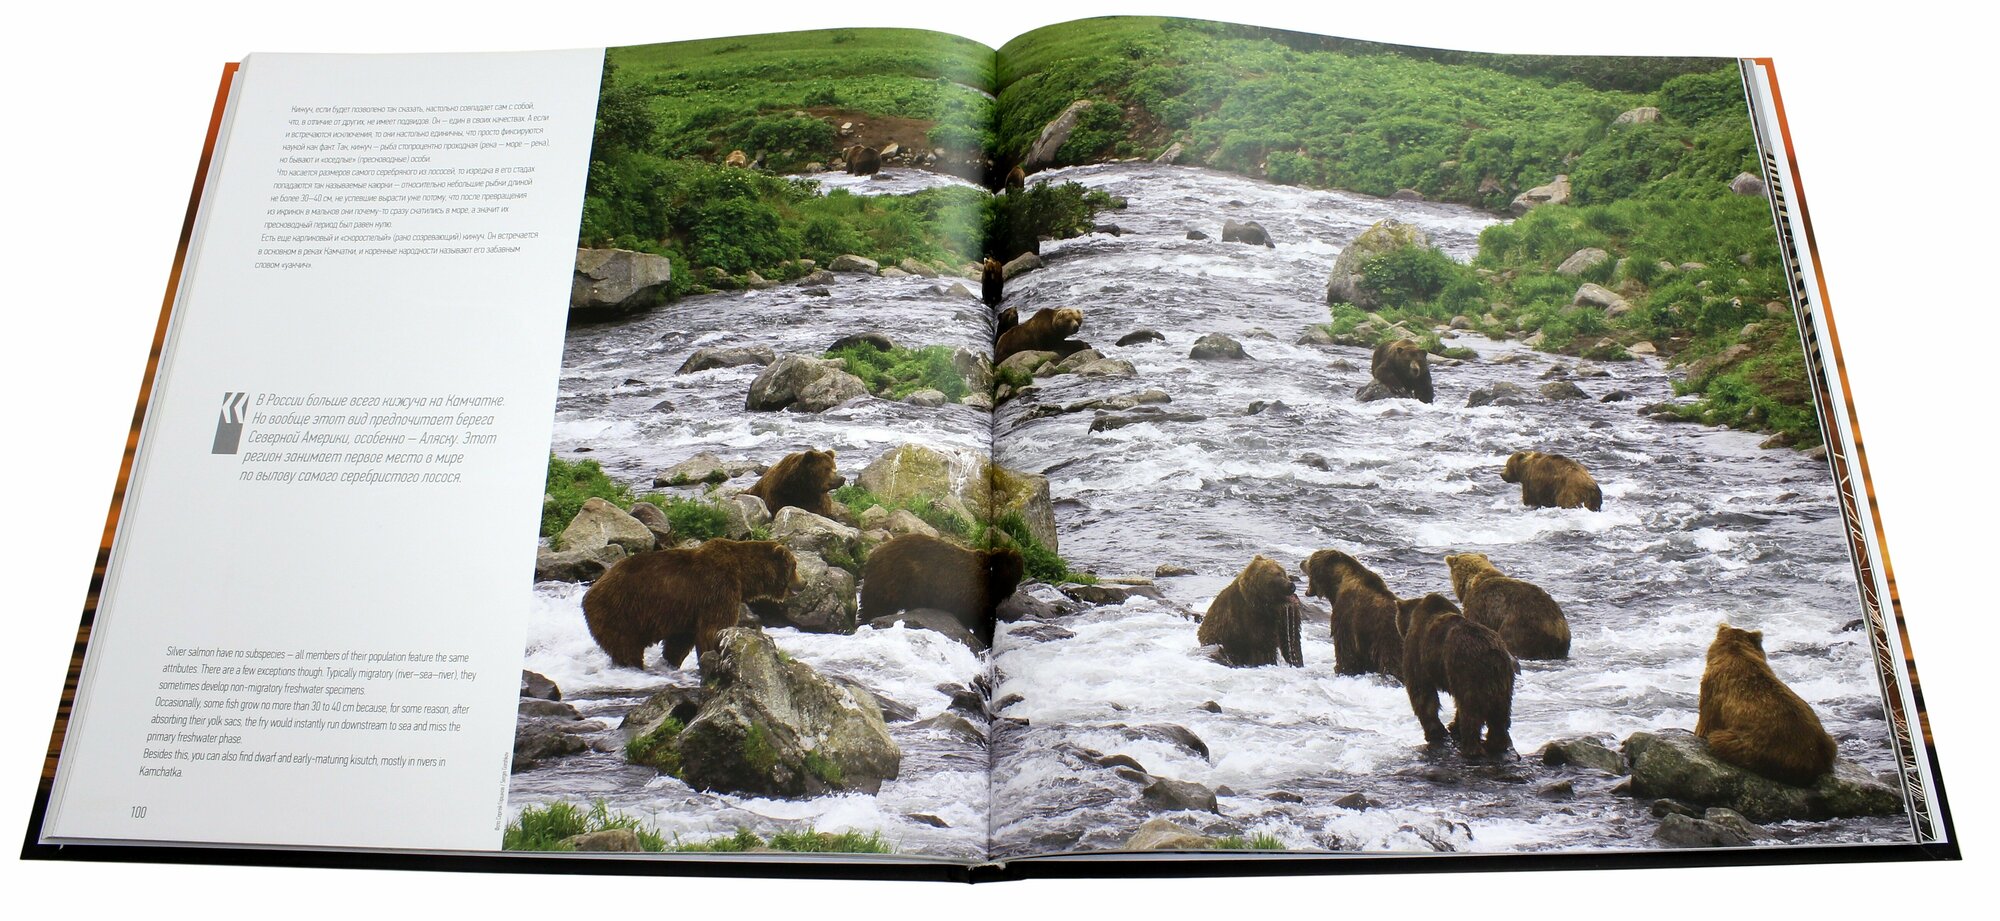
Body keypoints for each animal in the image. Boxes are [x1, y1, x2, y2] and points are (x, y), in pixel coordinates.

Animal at [580, 540, 796, 668]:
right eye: (794, 566)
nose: (801, 584)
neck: (743, 574)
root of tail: (589, 592)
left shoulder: (688, 611)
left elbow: (681, 640)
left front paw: (672, 660)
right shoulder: (718, 589)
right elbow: (713, 629)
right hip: (620, 610)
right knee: (626, 645)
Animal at [1296, 548, 1408, 676]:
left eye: (1311, 559)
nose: (1302, 562)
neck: (1337, 586)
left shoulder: (1347, 617)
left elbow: (1346, 653)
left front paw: (1341, 669)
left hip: (1390, 641)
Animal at [1392, 592, 1512, 760]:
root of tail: (1491, 654)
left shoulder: (1417, 651)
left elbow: (1421, 692)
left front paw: (1435, 731)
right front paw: (1451, 726)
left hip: (1468, 671)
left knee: (1470, 711)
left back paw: (1470, 749)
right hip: (1502, 681)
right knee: (1500, 714)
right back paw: (1495, 744)